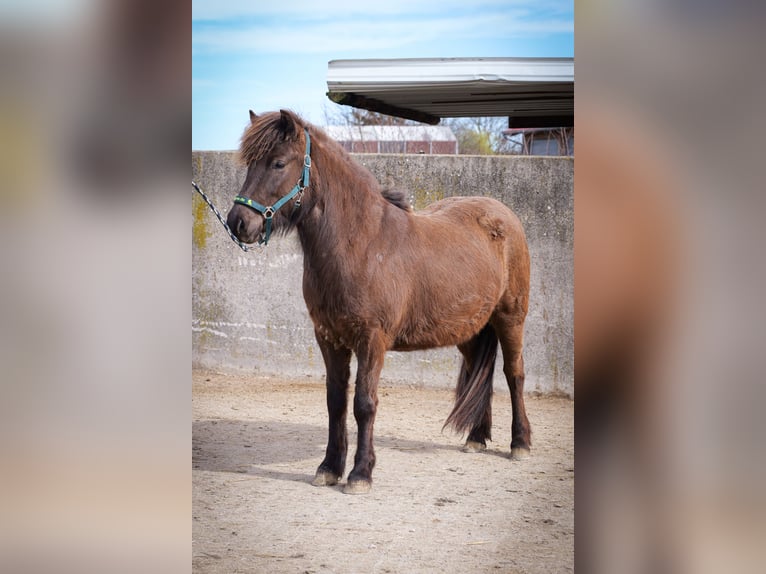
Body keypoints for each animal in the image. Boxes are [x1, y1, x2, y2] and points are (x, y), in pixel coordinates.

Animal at [226, 109, 531, 494]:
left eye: (278, 163)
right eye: (249, 163)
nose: (238, 222)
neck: (362, 243)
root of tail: (503, 213)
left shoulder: (372, 340)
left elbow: (364, 404)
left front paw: (360, 473)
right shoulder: (329, 337)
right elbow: (336, 402)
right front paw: (329, 467)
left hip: (511, 318)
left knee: (514, 374)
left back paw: (520, 443)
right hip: (469, 329)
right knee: (482, 369)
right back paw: (477, 437)